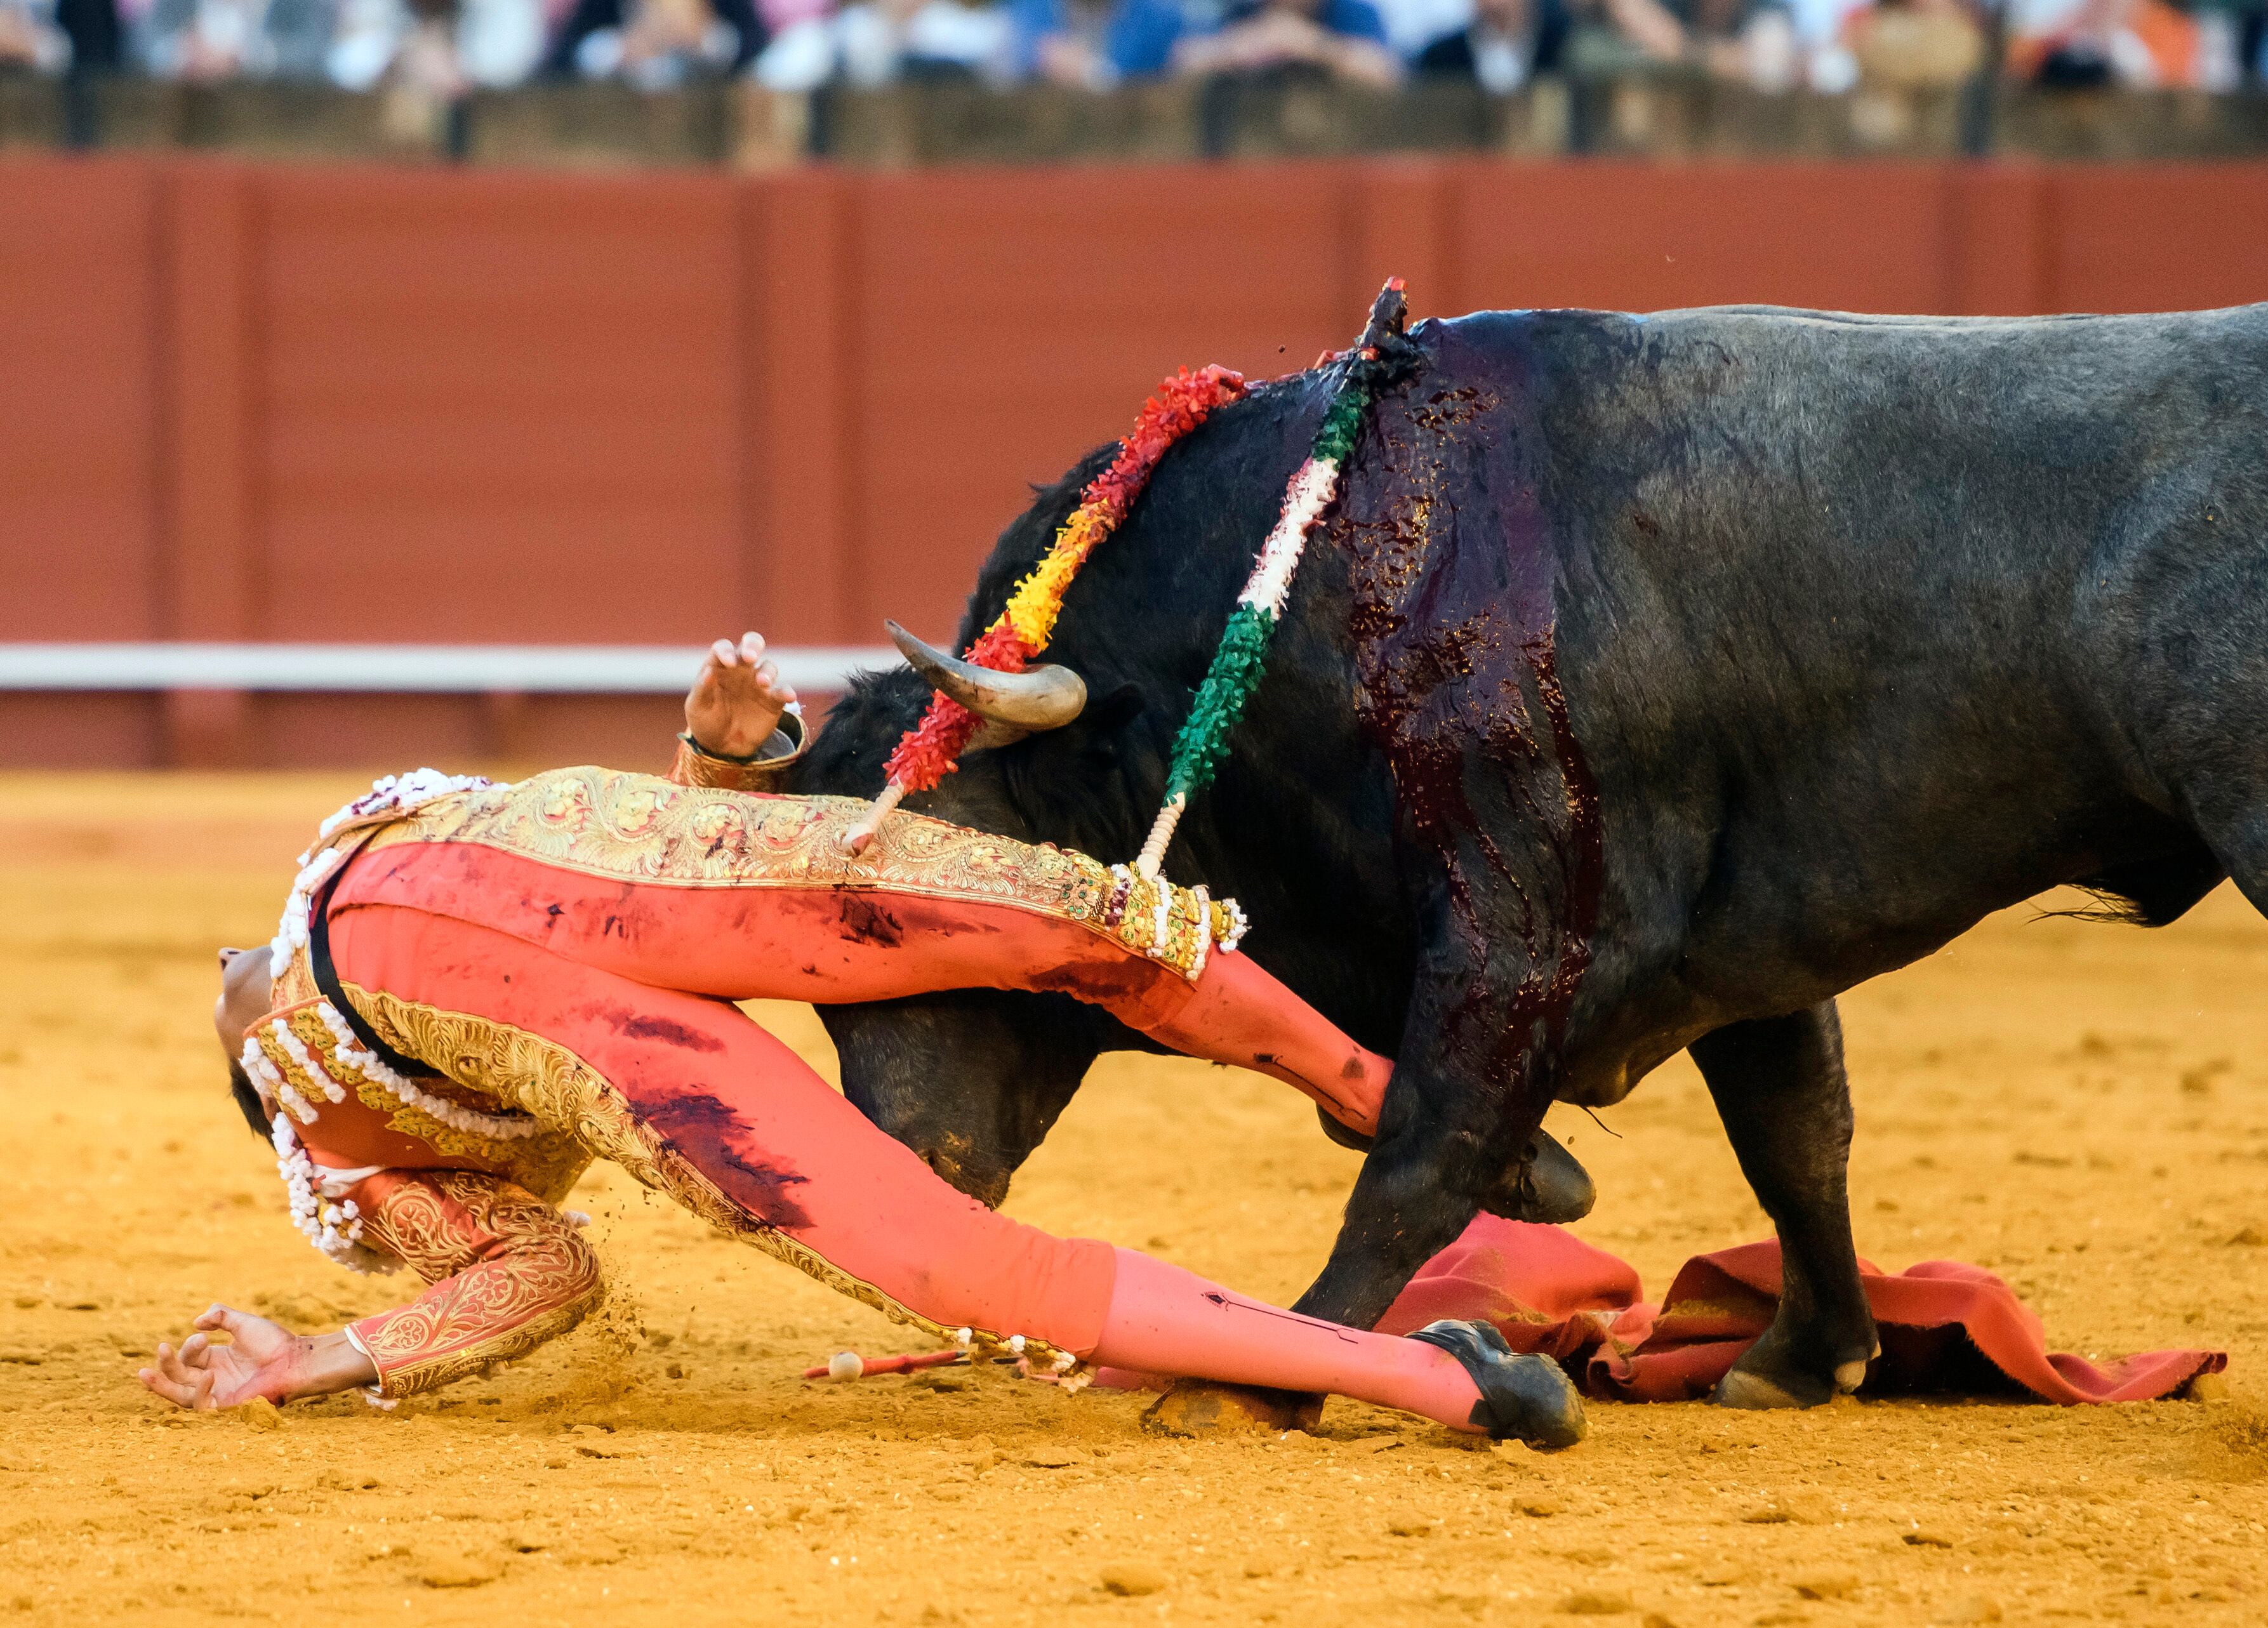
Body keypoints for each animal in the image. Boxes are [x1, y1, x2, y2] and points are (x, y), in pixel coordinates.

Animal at [785, 308, 2268, 1415]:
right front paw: (1802, 1357)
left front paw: (1265, 1374)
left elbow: (1423, 1149)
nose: (902, 1166)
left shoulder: (1522, 921)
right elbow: (1796, 1129)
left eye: (897, 916)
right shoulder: (1749, 934)